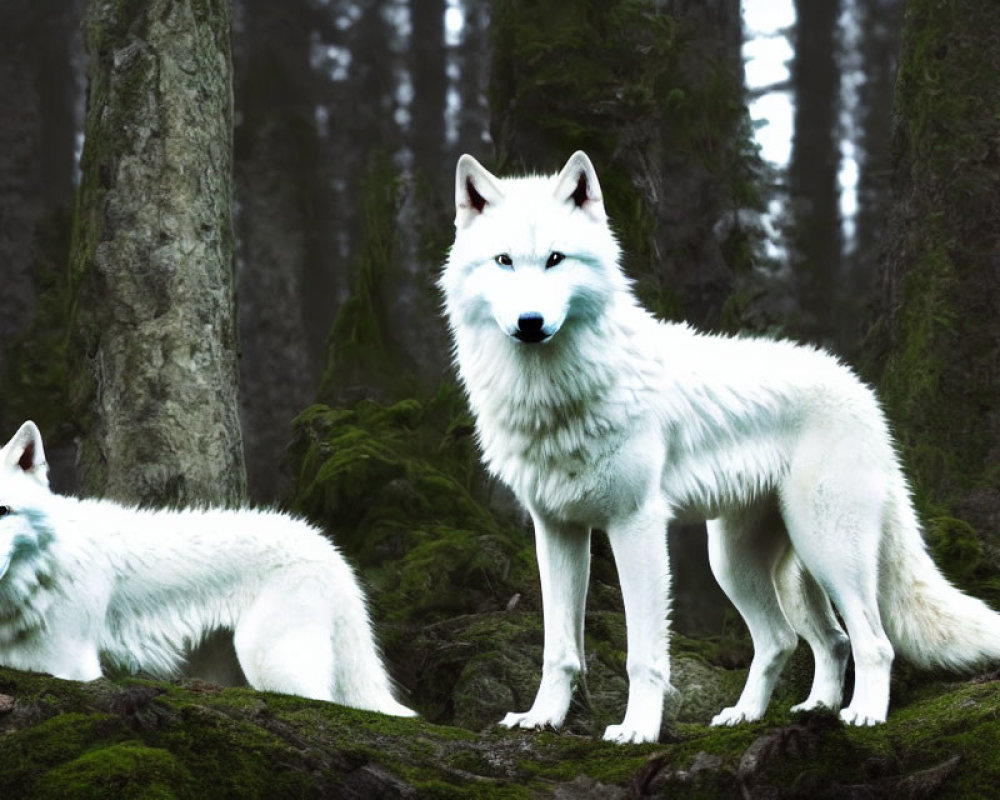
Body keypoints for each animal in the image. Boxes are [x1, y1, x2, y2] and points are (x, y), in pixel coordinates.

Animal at [440, 148, 1000, 744]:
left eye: (554, 259)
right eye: (504, 261)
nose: (530, 323)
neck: (555, 392)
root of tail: (863, 392)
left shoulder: (635, 524)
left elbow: (644, 655)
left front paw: (638, 730)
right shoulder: (555, 529)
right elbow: (559, 649)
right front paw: (542, 719)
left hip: (827, 550)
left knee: (873, 642)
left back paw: (863, 715)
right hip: (741, 564)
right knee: (805, 640)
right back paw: (779, 713)